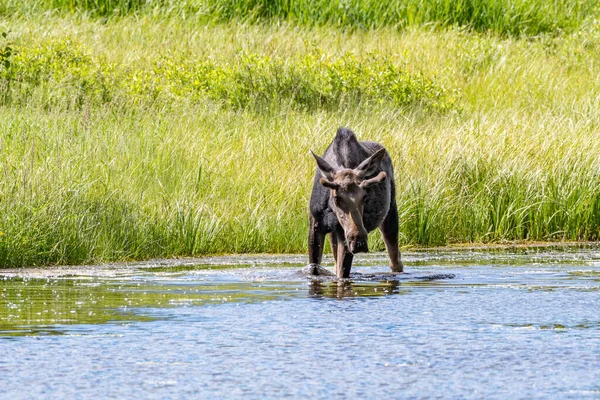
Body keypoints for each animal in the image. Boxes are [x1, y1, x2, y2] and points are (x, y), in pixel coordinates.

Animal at [310, 127, 404, 278]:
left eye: (365, 197)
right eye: (337, 198)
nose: (358, 241)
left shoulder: (343, 236)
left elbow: (342, 275)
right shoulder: (315, 224)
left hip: (390, 213)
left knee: (395, 261)